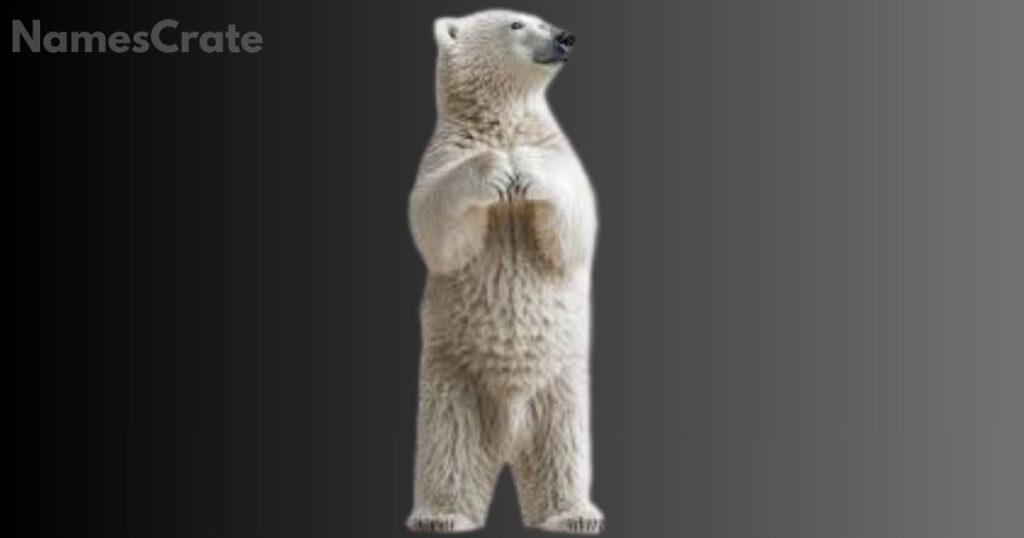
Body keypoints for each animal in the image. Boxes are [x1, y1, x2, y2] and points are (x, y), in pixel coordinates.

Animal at [406, 9, 603, 535]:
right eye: (517, 23)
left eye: (542, 19)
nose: (565, 37)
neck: (502, 121)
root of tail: (509, 441)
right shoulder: (445, 152)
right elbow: (436, 226)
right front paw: (497, 168)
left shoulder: (557, 149)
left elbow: (576, 226)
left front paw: (524, 167)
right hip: (452, 383)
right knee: (448, 448)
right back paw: (441, 515)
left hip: (562, 386)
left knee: (563, 447)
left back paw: (573, 514)